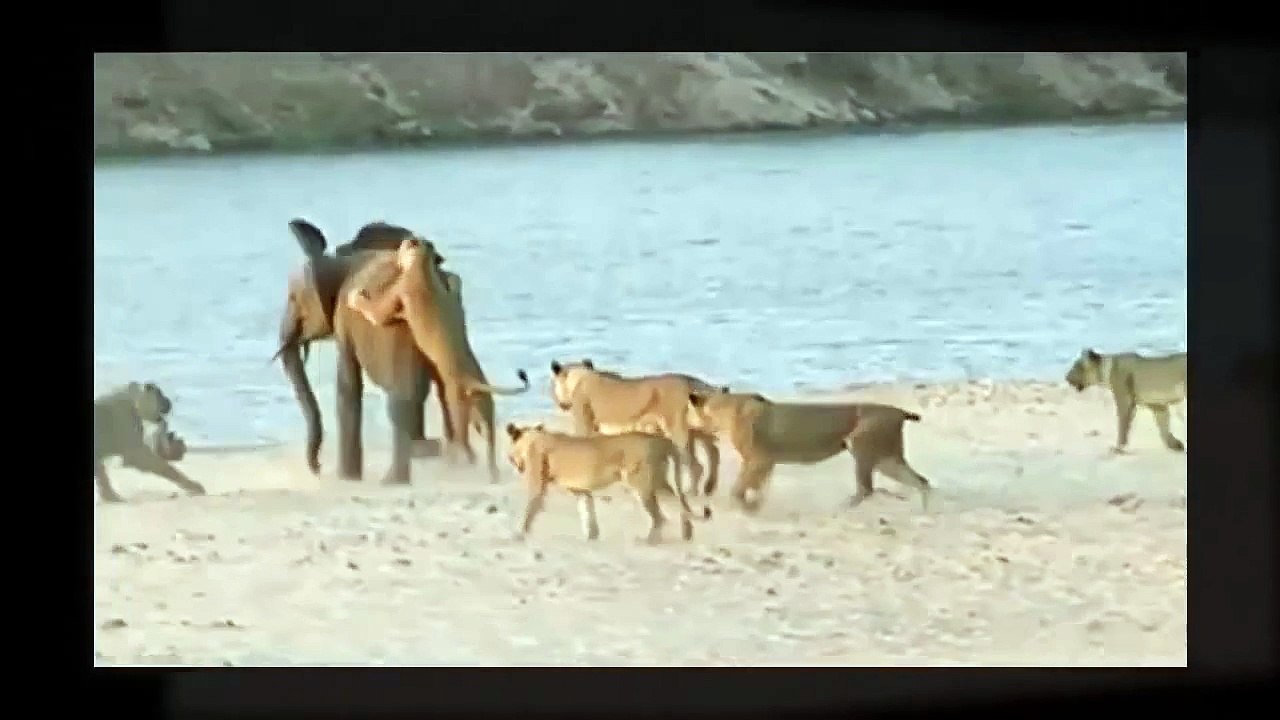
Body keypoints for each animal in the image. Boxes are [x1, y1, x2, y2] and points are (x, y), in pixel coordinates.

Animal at [345, 236, 530, 479]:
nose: (399, 247)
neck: (422, 265)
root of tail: (474, 383)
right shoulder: (450, 290)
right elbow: (454, 283)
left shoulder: (394, 297)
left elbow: (372, 309)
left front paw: (355, 296)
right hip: (484, 413)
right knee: (489, 443)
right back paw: (492, 473)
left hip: (457, 408)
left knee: (464, 444)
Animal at [505, 423, 712, 543]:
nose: (513, 462)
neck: (533, 438)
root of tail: (661, 439)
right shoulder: (581, 490)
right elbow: (587, 511)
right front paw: (591, 537)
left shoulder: (537, 483)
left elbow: (531, 508)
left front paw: (519, 534)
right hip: (656, 481)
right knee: (680, 505)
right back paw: (687, 535)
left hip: (642, 483)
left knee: (661, 516)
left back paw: (648, 540)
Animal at [548, 359, 729, 496]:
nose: (560, 403)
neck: (581, 377)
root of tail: (690, 380)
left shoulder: (584, 425)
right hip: (697, 429)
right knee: (714, 452)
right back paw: (709, 487)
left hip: (678, 430)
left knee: (696, 465)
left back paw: (691, 493)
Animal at [686, 390, 931, 513]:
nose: (689, 426)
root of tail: (899, 412)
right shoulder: (766, 462)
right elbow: (757, 488)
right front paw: (755, 505)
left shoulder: (759, 459)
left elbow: (738, 489)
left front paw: (747, 508)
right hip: (886, 458)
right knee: (921, 481)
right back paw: (926, 513)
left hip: (861, 446)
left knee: (867, 489)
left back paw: (841, 510)